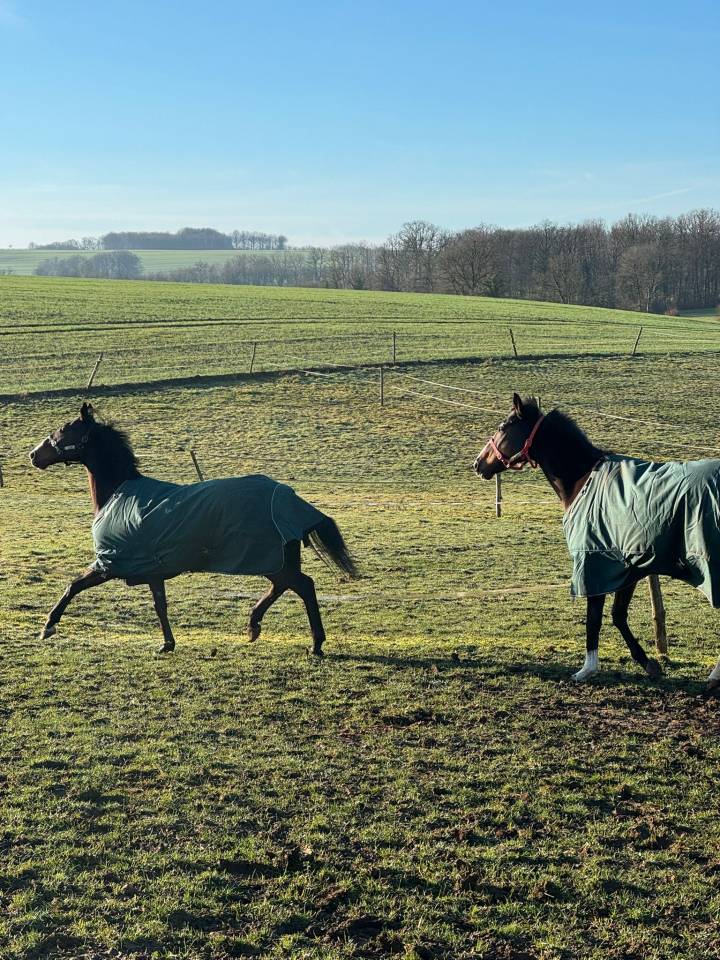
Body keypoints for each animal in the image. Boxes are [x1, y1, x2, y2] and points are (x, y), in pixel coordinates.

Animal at [29, 403, 358, 655]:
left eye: (64, 429)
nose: (34, 455)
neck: (119, 494)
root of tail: (290, 498)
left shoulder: (110, 564)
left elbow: (73, 586)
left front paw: (48, 627)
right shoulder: (152, 570)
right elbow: (160, 605)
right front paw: (167, 644)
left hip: (273, 560)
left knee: (304, 587)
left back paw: (315, 644)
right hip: (275, 562)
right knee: (285, 587)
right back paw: (254, 626)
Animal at [474, 393, 720, 693]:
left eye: (503, 427)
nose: (478, 464)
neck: (584, 480)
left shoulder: (594, 563)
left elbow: (594, 618)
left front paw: (587, 669)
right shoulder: (629, 568)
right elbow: (617, 615)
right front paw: (649, 664)